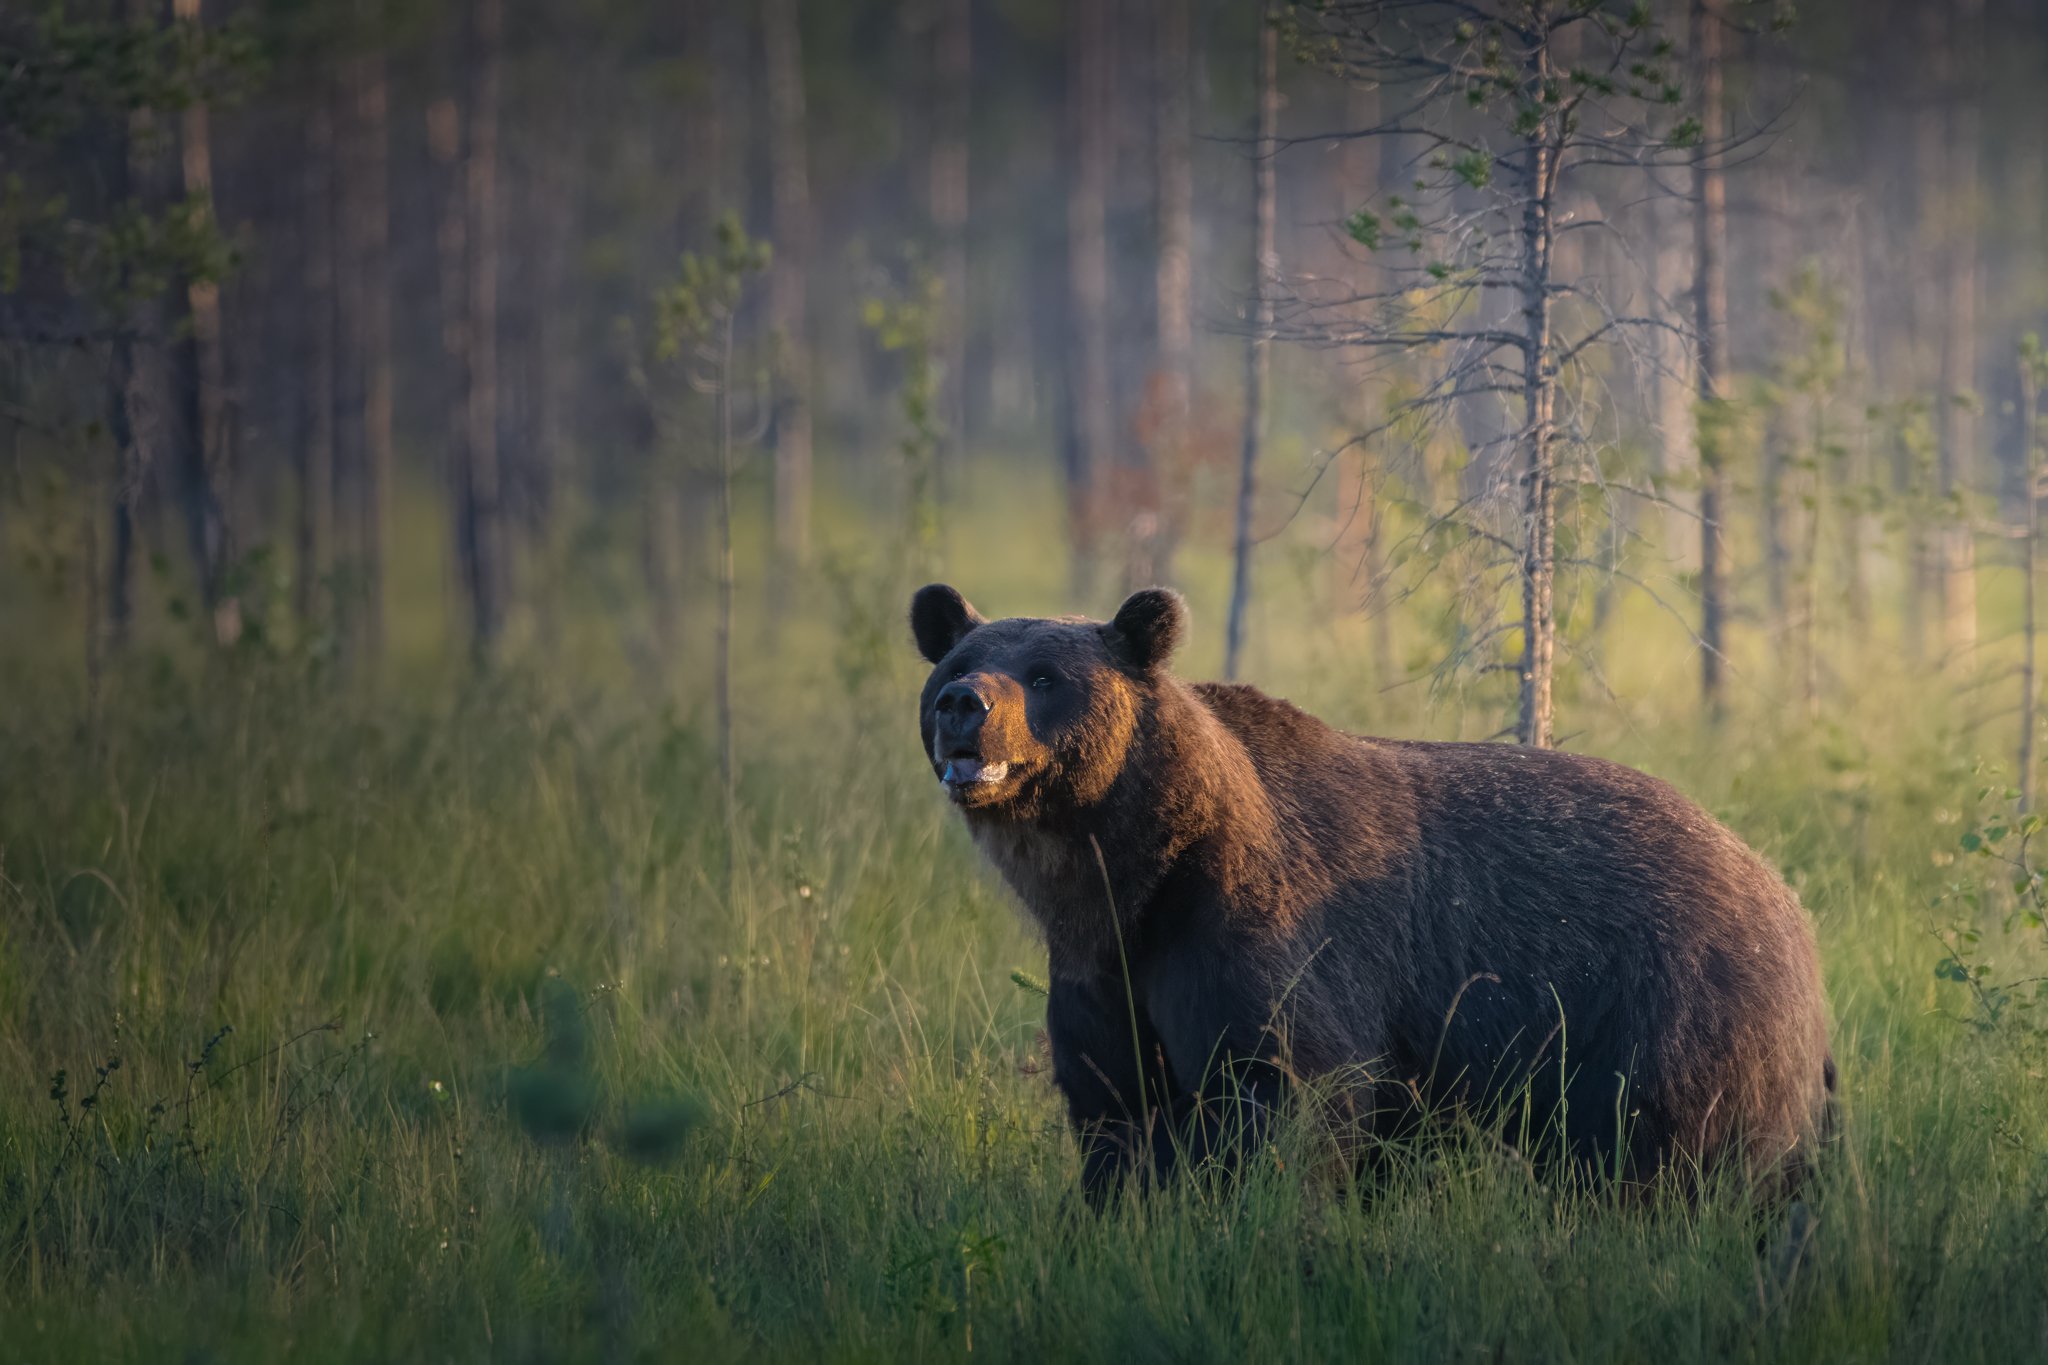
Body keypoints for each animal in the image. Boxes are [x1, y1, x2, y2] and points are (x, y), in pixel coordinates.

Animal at [912, 583, 1833, 1203]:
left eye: (1045, 674)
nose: (963, 704)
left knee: (1679, 1161)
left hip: (1670, 1012)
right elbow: (1116, 1110)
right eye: (959, 661)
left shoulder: (1262, 939)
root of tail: (1791, 906)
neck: (1135, 878)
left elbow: (1290, 1087)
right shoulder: (1102, 974)